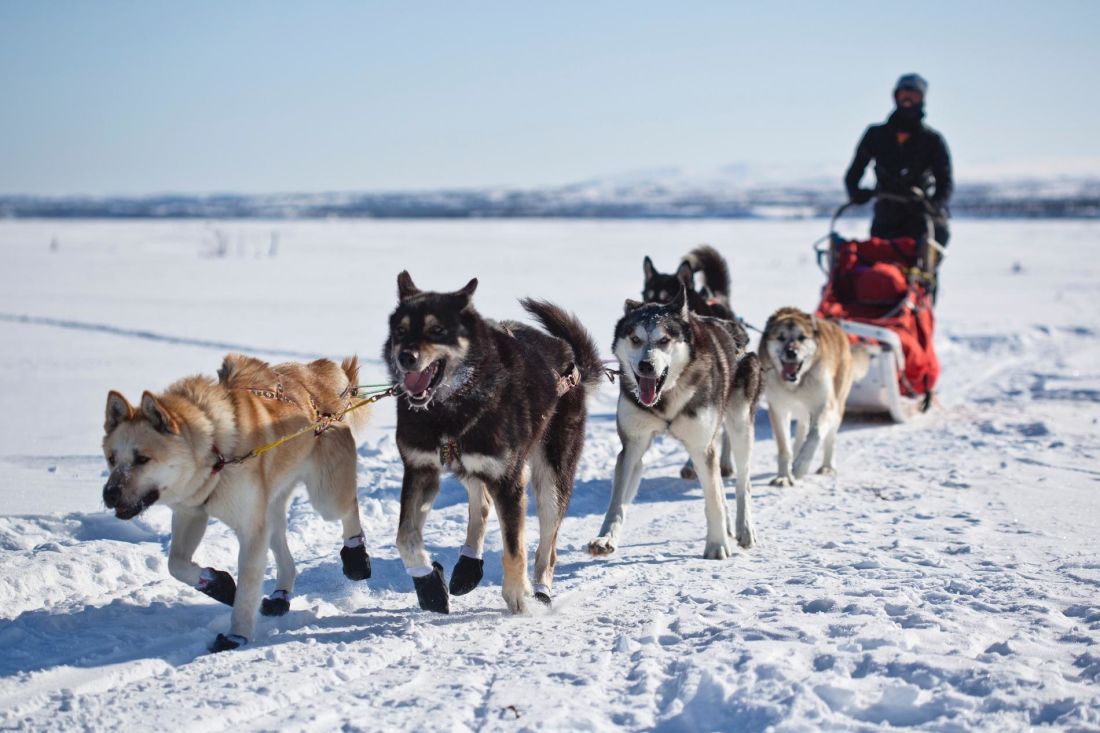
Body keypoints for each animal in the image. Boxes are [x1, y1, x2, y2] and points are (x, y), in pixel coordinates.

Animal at [101, 354, 374, 651]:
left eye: (142, 459)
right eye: (111, 459)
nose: (109, 494)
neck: (216, 452)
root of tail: (319, 373)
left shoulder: (251, 530)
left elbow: (246, 588)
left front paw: (237, 635)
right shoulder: (191, 514)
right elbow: (176, 564)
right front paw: (217, 584)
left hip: (325, 497)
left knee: (349, 509)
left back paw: (356, 558)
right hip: (271, 509)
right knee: (285, 556)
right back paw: (280, 596)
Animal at [380, 270, 602, 611]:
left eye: (437, 329)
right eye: (401, 331)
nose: (405, 357)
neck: (449, 409)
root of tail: (570, 360)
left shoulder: (509, 480)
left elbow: (515, 548)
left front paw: (519, 597)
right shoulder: (420, 469)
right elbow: (405, 537)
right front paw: (428, 583)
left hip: (551, 479)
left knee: (547, 546)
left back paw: (540, 591)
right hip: (471, 464)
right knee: (482, 503)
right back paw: (468, 566)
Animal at [589, 281, 761, 556]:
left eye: (664, 340)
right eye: (635, 339)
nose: (646, 365)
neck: (666, 397)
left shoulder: (701, 446)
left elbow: (713, 497)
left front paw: (716, 545)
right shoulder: (633, 445)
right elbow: (617, 501)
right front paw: (605, 538)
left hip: (740, 426)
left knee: (742, 483)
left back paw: (744, 528)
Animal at [761, 305, 862, 482]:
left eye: (802, 337)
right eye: (780, 337)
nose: (791, 352)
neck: (797, 384)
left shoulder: (825, 406)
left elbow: (815, 435)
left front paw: (800, 466)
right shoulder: (779, 409)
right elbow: (785, 448)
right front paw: (784, 477)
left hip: (837, 406)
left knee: (829, 438)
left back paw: (827, 466)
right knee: (802, 430)